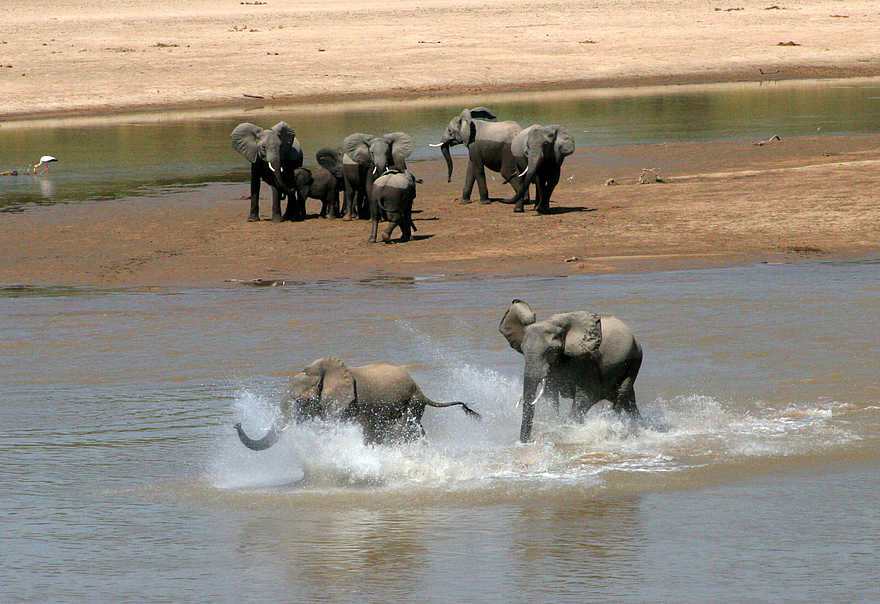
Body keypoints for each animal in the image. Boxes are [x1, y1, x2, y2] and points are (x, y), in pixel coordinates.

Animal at [499, 299, 643, 442]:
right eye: (523, 350)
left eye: (551, 350)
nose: (529, 441)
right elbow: (550, 396)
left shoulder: (588, 361)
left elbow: (587, 396)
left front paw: (566, 430)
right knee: (629, 402)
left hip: (634, 361)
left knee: (622, 395)